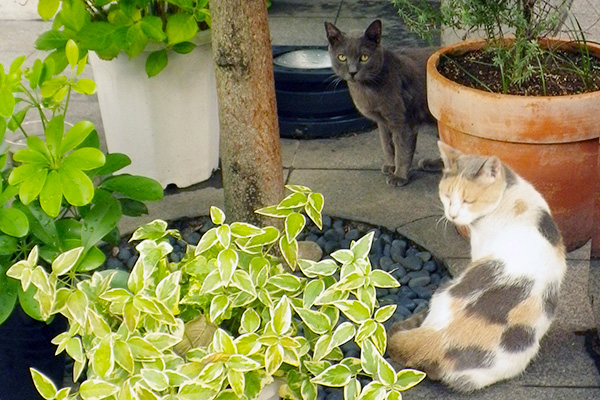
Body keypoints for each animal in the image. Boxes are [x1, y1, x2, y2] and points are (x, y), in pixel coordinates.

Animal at [324, 19, 440, 187]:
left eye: (364, 57)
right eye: (342, 57)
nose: (352, 72)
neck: (367, 90)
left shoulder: (403, 122)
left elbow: (402, 150)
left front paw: (399, 176)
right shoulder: (383, 123)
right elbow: (387, 145)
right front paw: (391, 166)